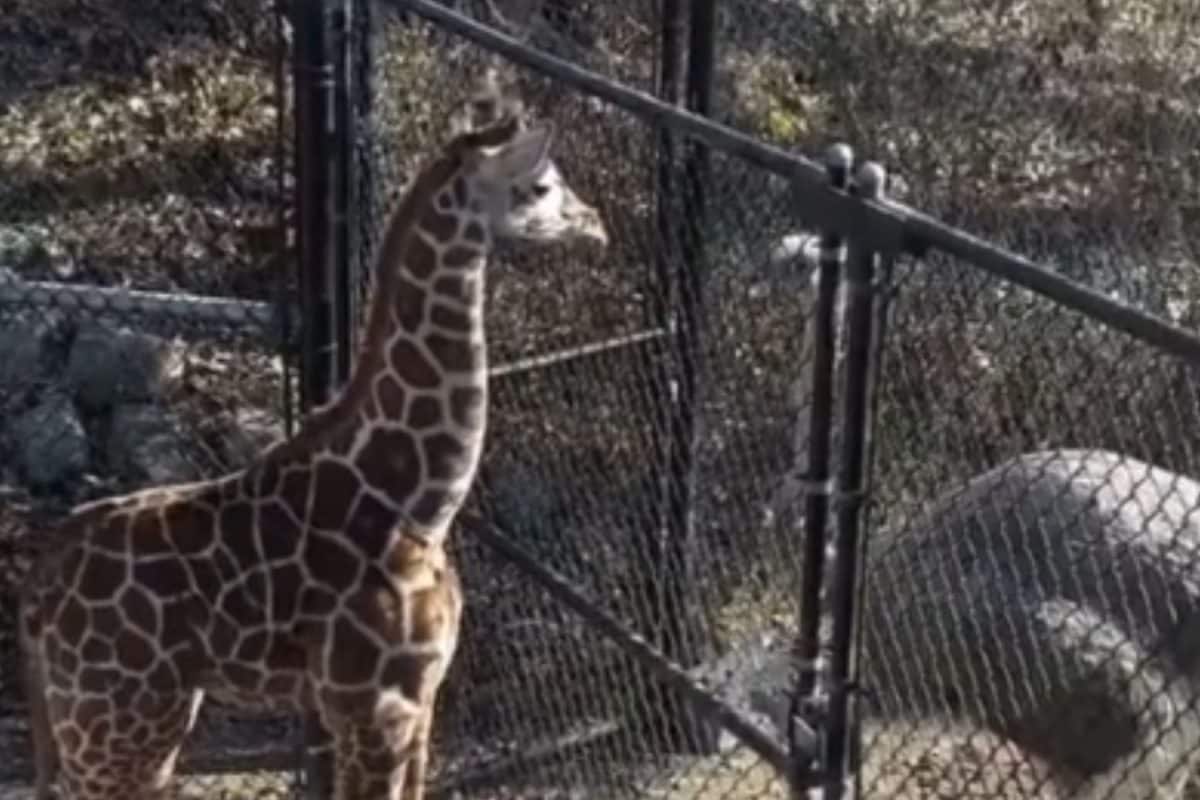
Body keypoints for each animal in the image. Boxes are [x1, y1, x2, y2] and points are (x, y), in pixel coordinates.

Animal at [17, 81, 608, 800]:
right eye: (543, 185)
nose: (597, 223)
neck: (420, 502)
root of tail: (39, 593)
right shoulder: (373, 709)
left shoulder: (418, 702)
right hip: (120, 728)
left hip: (122, 727)